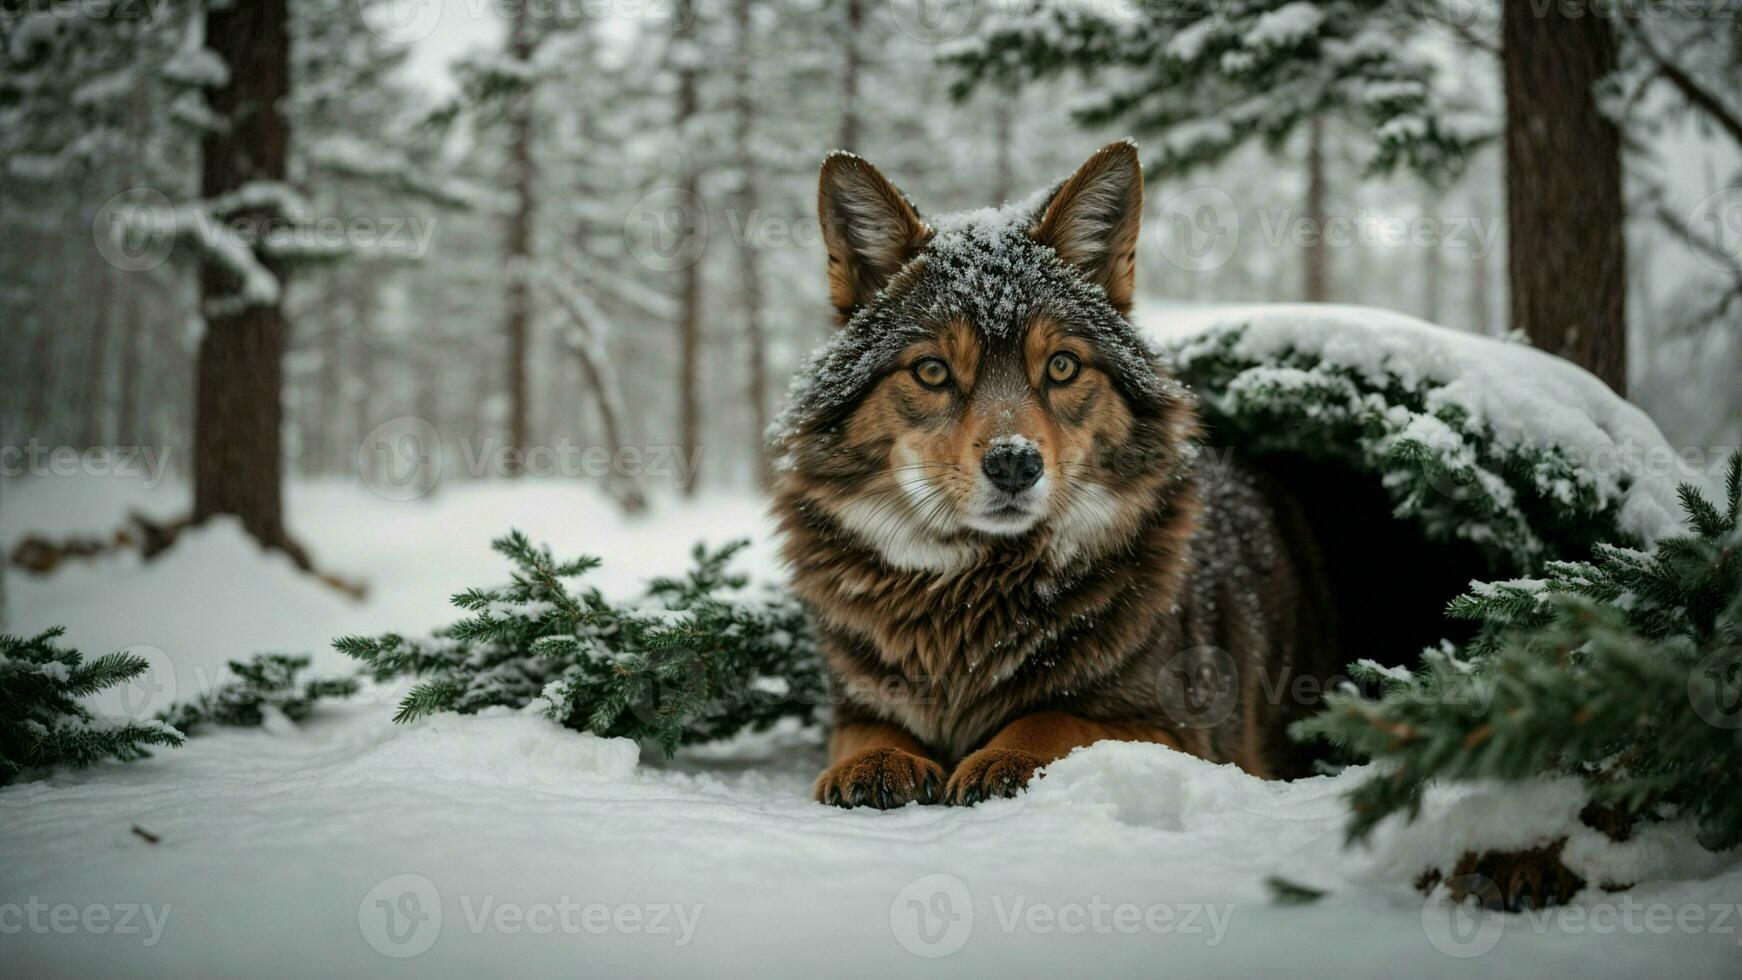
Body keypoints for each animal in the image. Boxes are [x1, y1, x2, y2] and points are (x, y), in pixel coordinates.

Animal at [769, 140, 1337, 814]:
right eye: (932, 371)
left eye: (1062, 366)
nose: (1015, 462)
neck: (974, 591)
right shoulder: (855, 703)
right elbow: (866, 727)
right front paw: (879, 758)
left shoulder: (1184, 733)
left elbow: (1053, 718)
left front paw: (1004, 756)